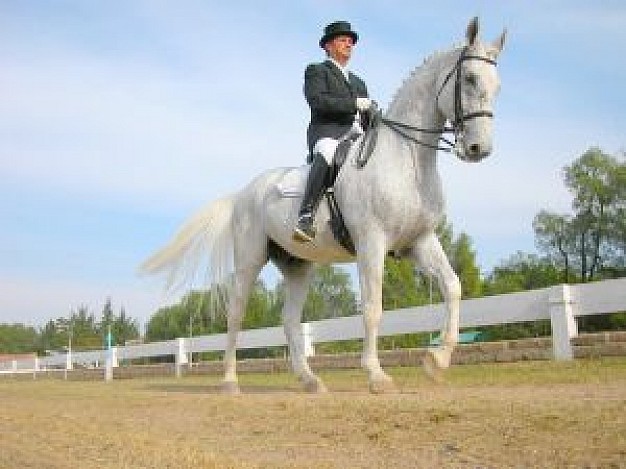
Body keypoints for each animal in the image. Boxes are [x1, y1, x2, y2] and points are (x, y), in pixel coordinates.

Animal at [141, 17, 502, 392]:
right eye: (470, 78)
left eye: (498, 85)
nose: (478, 149)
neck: (407, 160)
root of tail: (244, 193)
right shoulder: (372, 243)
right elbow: (372, 306)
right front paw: (376, 374)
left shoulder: (420, 241)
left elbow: (452, 287)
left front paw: (437, 360)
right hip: (250, 260)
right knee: (236, 313)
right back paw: (229, 381)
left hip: (298, 266)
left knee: (289, 320)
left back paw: (310, 379)